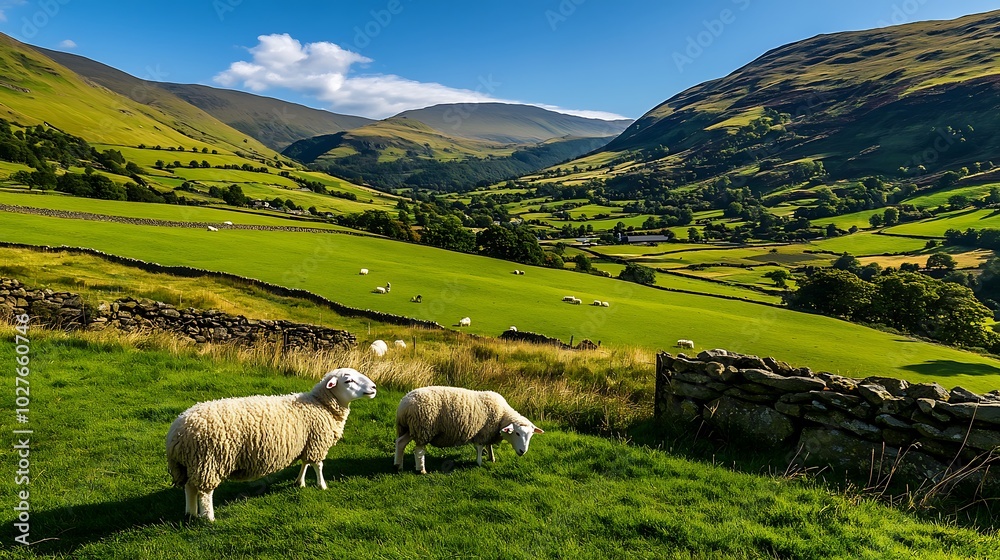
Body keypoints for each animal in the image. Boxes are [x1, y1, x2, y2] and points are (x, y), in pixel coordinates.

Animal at [166, 368, 377, 522]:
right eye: (348, 381)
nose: (374, 388)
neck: (321, 405)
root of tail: (177, 434)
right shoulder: (317, 442)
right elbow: (318, 465)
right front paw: (322, 486)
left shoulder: (307, 442)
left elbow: (305, 463)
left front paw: (299, 482)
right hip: (209, 461)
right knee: (205, 493)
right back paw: (208, 517)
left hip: (191, 464)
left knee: (190, 488)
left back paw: (190, 513)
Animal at [393, 386, 543, 474]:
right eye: (517, 433)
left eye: (530, 436)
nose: (523, 451)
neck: (502, 415)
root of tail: (403, 406)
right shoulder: (483, 432)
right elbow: (480, 447)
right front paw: (479, 462)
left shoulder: (489, 432)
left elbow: (489, 446)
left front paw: (492, 458)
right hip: (423, 428)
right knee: (419, 451)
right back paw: (421, 469)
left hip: (409, 428)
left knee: (400, 443)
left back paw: (398, 465)